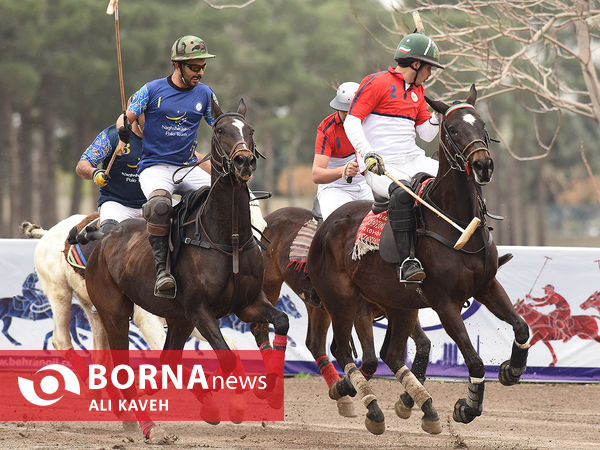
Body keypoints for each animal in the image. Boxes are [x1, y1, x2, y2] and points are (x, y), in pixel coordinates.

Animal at [19, 214, 234, 352]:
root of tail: (48, 233)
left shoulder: (190, 316)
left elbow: (229, 343)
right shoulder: (147, 319)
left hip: (92, 306)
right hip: (59, 291)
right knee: (61, 338)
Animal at [85, 99, 290, 442]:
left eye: (249, 130)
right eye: (220, 130)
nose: (244, 160)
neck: (227, 239)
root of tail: (103, 238)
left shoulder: (247, 304)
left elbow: (282, 321)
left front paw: (268, 390)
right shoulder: (199, 309)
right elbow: (227, 356)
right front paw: (237, 407)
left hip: (178, 320)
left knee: (167, 363)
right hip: (114, 311)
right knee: (122, 369)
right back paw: (149, 426)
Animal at [262, 207, 432, 418]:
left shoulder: (400, 309)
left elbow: (423, 344)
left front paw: (407, 399)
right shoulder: (361, 313)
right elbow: (370, 360)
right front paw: (352, 388)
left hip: (318, 306)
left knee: (315, 342)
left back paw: (342, 399)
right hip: (271, 285)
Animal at [310, 84, 528, 436]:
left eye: (482, 125)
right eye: (452, 129)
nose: (483, 165)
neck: (456, 222)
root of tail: (326, 224)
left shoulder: (487, 286)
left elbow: (521, 326)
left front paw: (512, 369)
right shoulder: (444, 301)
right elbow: (474, 359)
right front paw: (467, 407)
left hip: (397, 303)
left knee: (388, 352)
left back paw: (418, 406)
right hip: (341, 299)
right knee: (343, 350)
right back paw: (367, 405)